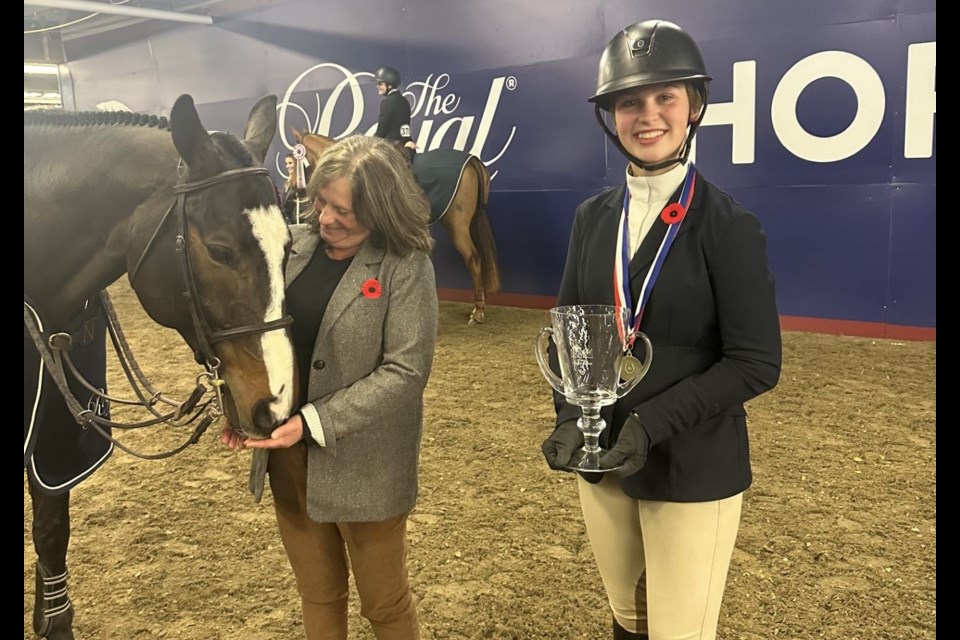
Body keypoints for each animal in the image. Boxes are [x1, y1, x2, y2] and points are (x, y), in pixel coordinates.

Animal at [292, 128, 502, 324]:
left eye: (293, 159)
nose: (291, 186)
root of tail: (473, 161)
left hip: (457, 225)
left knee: (473, 259)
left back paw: (478, 311)